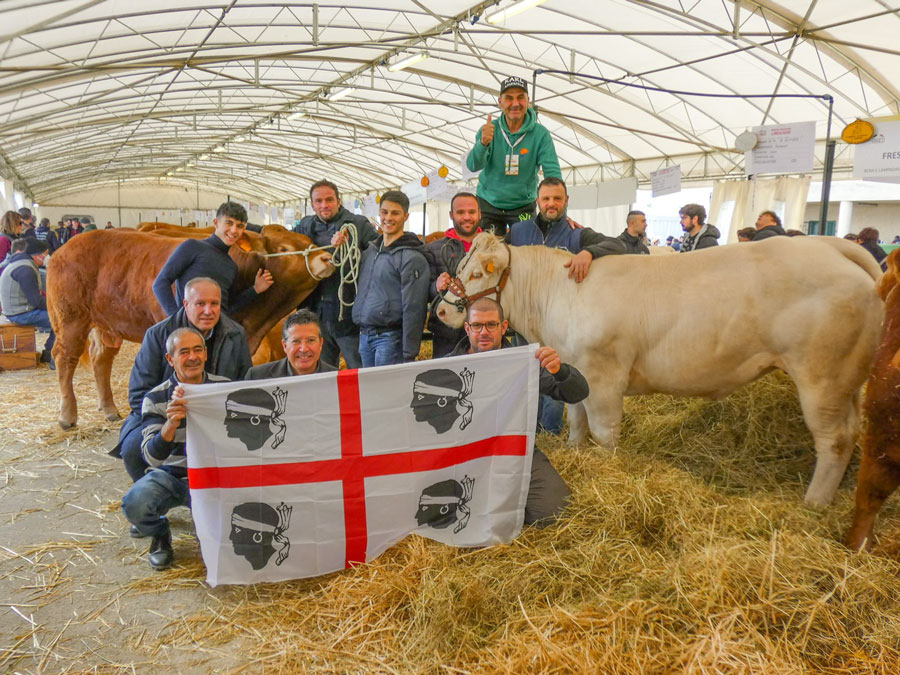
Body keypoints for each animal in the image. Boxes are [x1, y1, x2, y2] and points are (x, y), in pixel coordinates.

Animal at [47, 227, 332, 428]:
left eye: (308, 239)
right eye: (284, 247)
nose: (327, 256)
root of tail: (65, 247)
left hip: (106, 326)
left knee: (100, 359)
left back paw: (108, 409)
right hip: (71, 319)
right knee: (64, 358)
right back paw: (67, 415)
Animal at [440, 235, 884, 504]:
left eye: (476, 273)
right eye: (458, 268)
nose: (443, 311)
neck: (560, 295)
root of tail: (829, 245)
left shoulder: (605, 374)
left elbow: (604, 431)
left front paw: (609, 470)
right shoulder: (575, 367)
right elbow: (576, 419)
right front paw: (576, 452)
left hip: (821, 377)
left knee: (834, 440)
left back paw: (814, 502)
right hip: (844, 382)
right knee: (850, 432)